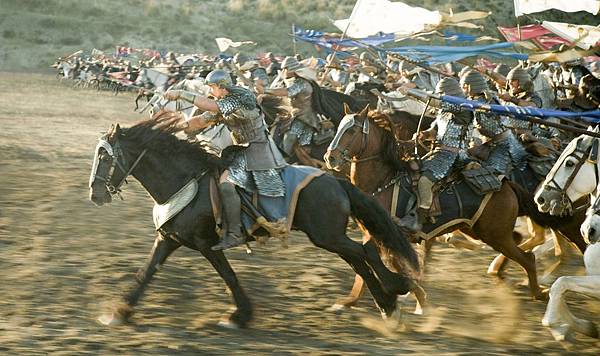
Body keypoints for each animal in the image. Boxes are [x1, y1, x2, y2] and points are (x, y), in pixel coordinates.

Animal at [89, 115, 422, 326]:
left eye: (105, 158)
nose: (95, 194)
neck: (185, 181)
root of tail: (335, 180)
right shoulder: (168, 240)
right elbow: (146, 272)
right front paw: (119, 311)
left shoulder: (206, 245)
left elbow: (229, 276)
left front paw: (239, 316)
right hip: (329, 236)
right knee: (358, 258)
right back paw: (388, 305)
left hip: (326, 235)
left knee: (363, 252)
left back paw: (395, 291)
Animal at [326, 106, 552, 304]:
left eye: (352, 130)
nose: (330, 158)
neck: (384, 181)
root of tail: (506, 183)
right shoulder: (373, 236)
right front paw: (350, 300)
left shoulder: (387, 237)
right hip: (480, 231)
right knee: (518, 240)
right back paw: (501, 271)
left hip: (495, 235)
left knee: (528, 259)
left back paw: (538, 292)